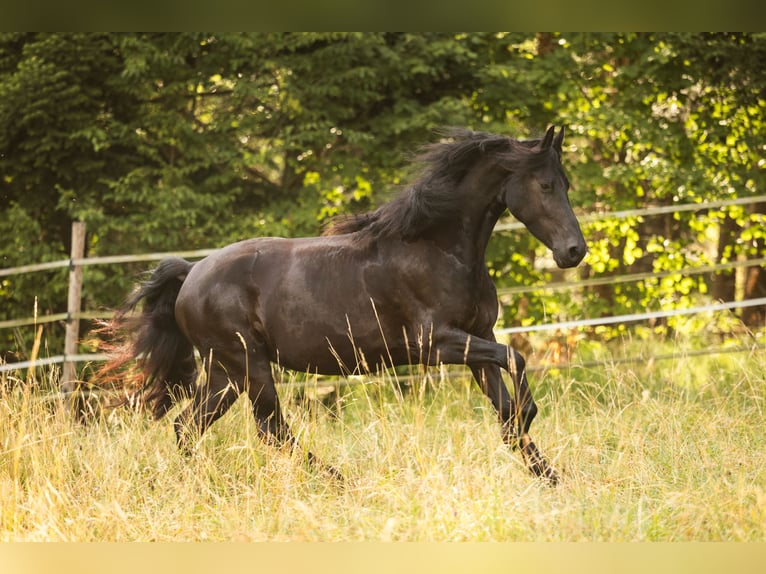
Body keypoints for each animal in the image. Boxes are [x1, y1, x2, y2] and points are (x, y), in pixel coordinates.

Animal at [99, 126, 587, 485]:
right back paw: (341, 481)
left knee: (189, 426)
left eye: (566, 183)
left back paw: (205, 482)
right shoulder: (438, 343)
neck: (436, 249)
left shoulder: (476, 341)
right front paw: (535, 435)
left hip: (225, 373)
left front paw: (551, 479)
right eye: (545, 184)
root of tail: (192, 273)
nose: (574, 252)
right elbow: (517, 362)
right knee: (271, 430)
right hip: (248, 364)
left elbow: (505, 407)